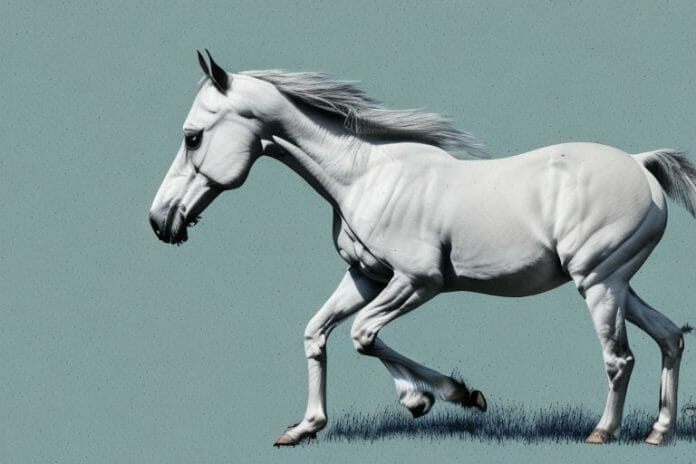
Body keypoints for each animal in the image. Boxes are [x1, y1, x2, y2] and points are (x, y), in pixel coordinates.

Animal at [149, 51, 693, 446]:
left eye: (192, 137)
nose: (160, 220)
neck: (363, 178)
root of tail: (641, 163)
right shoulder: (365, 277)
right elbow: (318, 333)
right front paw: (305, 427)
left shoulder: (418, 281)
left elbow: (364, 335)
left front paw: (448, 396)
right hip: (617, 283)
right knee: (669, 337)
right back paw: (658, 432)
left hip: (600, 284)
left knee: (620, 358)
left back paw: (603, 432)